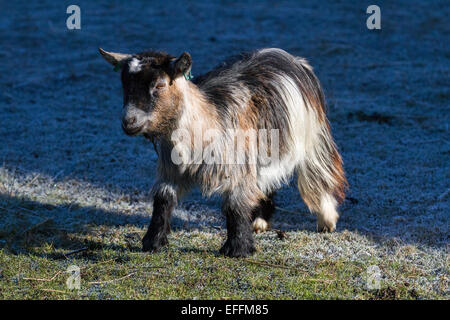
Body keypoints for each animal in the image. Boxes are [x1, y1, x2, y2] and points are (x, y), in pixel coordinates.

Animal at [99, 48, 348, 258]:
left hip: (312, 135)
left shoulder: (235, 166)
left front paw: (237, 249)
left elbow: (234, 205)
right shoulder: (171, 168)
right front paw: (153, 242)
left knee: (318, 172)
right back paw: (259, 221)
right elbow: (163, 198)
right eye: (124, 84)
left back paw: (326, 220)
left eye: (159, 85)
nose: (129, 122)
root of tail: (291, 58)